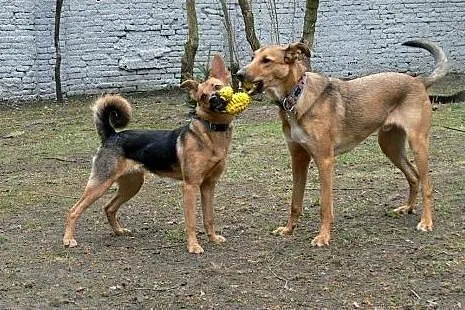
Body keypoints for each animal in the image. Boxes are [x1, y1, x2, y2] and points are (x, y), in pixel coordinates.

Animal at [62, 54, 236, 253]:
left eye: (217, 87)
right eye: (202, 96)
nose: (214, 99)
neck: (211, 133)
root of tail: (111, 135)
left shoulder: (208, 185)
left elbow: (209, 217)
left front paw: (213, 238)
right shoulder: (190, 186)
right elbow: (191, 221)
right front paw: (193, 246)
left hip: (132, 184)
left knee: (109, 207)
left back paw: (118, 231)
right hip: (100, 183)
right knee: (73, 210)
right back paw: (68, 239)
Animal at [237, 39, 448, 247]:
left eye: (266, 60)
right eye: (252, 58)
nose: (239, 74)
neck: (296, 97)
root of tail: (418, 81)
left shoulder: (324, 161)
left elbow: (325, 205)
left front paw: (323, 237)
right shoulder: (298, 158)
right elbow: (295, 202)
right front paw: (289, 229)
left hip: (417, 144)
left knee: (427, 184)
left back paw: (426, 221)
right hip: (390, 146)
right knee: (413, 176)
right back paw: (408, 208)